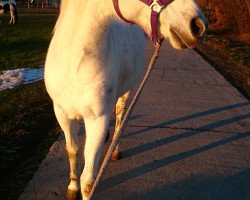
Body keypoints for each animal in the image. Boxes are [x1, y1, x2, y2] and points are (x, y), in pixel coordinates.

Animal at [44, 0, 207, 198]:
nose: (198, 25)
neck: (75, 63)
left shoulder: (97, 119)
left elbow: (88, 181)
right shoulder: (62, 113)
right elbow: (72, 151)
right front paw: (72, 187)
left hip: (126, 91)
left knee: (120, 116)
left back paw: (115, 149)